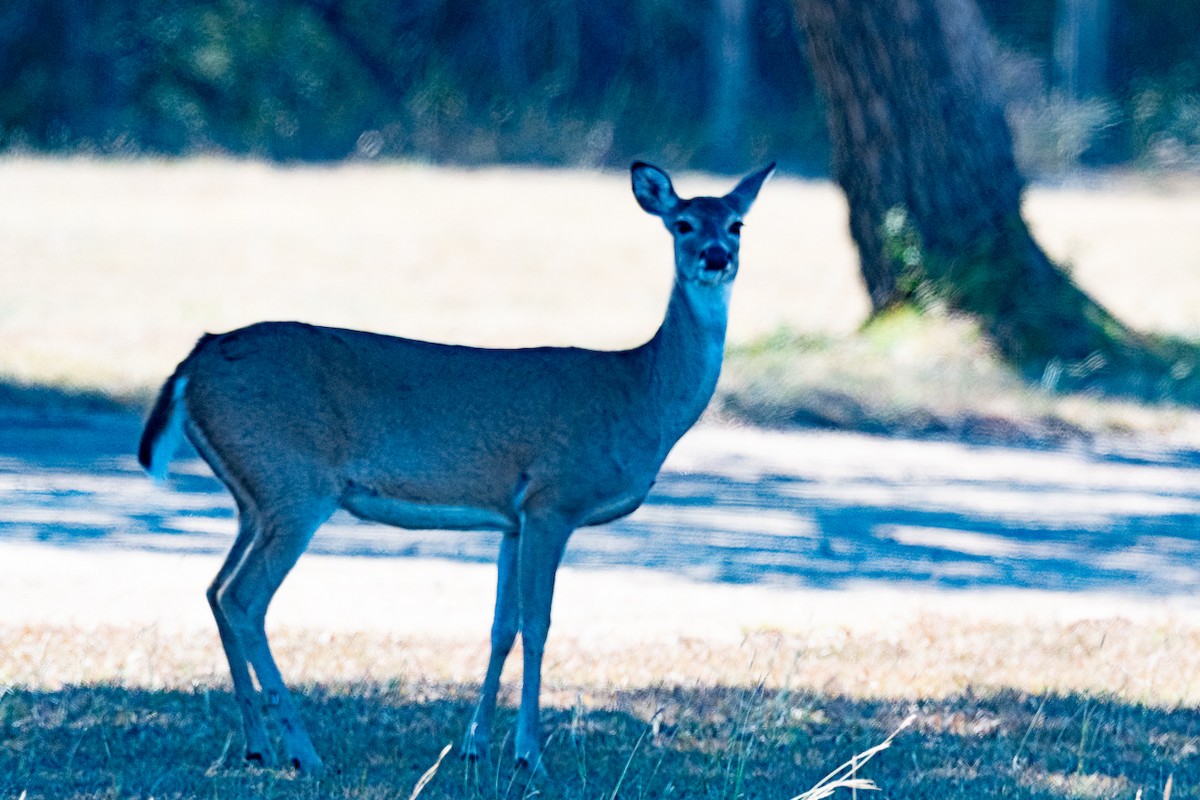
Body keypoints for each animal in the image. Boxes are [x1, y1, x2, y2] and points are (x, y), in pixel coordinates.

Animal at [137, 161, 774, 775]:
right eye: (682, 223)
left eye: (737, 224)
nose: (715, 257)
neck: (642, 393)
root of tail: (196, 358)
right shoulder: (554, 499)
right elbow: (539, 625)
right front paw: (528, 755)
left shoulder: (513, 518)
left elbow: (501, 627)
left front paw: (474, 746)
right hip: (295, 485)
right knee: (244, 597)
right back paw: (304, 753)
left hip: (254, 497)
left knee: (215, 589)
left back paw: (258, 746)